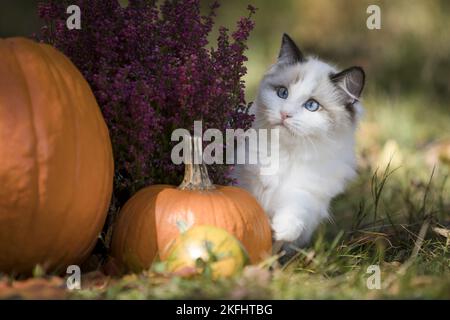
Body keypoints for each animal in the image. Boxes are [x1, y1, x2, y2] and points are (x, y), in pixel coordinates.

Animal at [234, 34, 364, 252]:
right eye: (282, 93)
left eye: (311, 105)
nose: (284, 114)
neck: (286, 153)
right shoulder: (244, 179)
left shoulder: (306, 195)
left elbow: (295, 214)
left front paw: (280, 230)